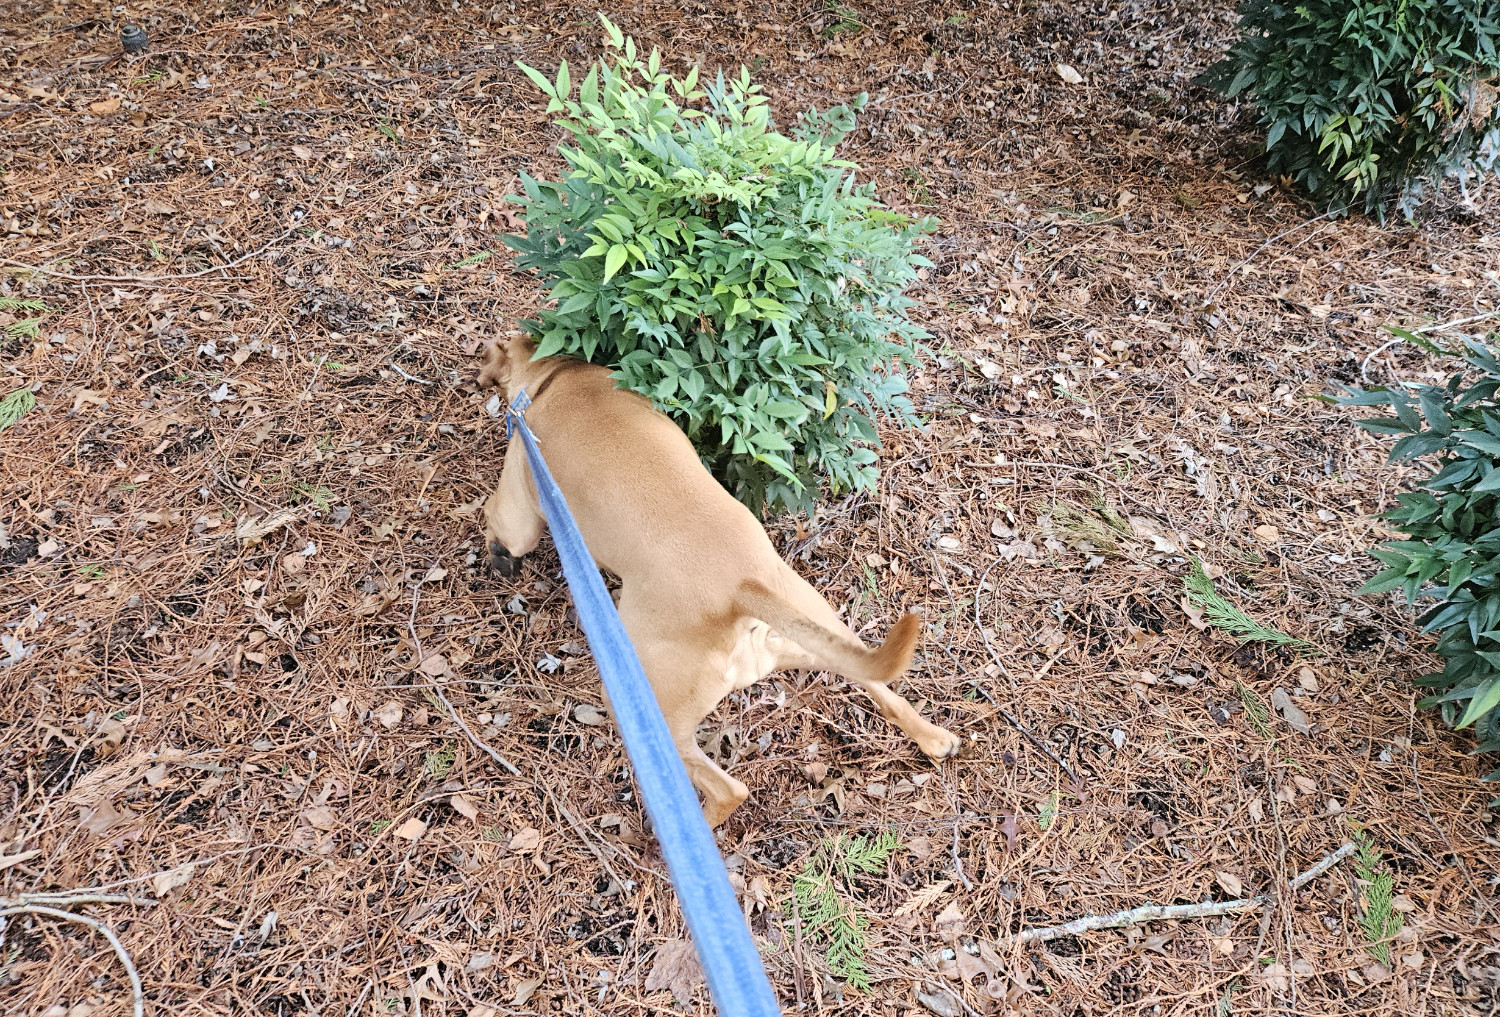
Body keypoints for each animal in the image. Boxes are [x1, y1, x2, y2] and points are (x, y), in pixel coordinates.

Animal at [474, 334, 954, 828]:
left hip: (643, 707)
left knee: (728, 790)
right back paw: (935, 739)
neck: (553, 376)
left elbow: (495, 520)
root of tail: (742, 591)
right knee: (883, 689)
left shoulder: (518, 511)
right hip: (821, 628)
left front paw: (494, 551)